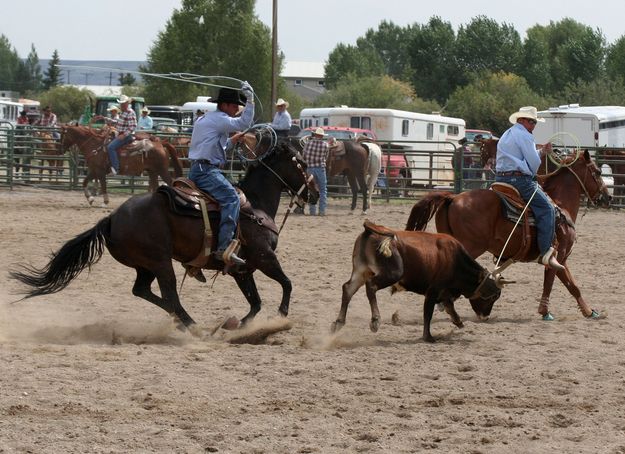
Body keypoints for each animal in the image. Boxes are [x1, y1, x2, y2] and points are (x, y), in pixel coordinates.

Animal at [9, 138, 320, 330]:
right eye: (302, 164)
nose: (316, 193)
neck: (254, 204)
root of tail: (110, 219)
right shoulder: (264, 258)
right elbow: (287, 284)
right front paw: (280, 317)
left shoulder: (243, 269)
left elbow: (255, 303)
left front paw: (238, 325)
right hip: (160, 262)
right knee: (170, 295)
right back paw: (191, 325)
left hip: (145, 265)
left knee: (143, 291)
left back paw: (182, 323)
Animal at [332, 220, 502, 340]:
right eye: (492, 296)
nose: (485, 317)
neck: (454, 259)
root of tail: (372, 229)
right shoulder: (433, 290)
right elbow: (428, 313)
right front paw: (428, 337)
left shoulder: (444, 292)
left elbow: (449, 306)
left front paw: (458, 321)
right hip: (393, 273)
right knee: (371, 286)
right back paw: (375, 320)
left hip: (361, 271)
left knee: (348, 288)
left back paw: (338, 322)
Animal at [404, 151, 608, 320]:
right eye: (598, 172)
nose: (608, 197)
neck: (560, 205)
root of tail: (453, 198)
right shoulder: (558, 255)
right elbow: (556, 283)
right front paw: (547, 311)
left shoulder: (560, 258)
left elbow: (570, 285)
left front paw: (588, 311)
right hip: (470, 246)